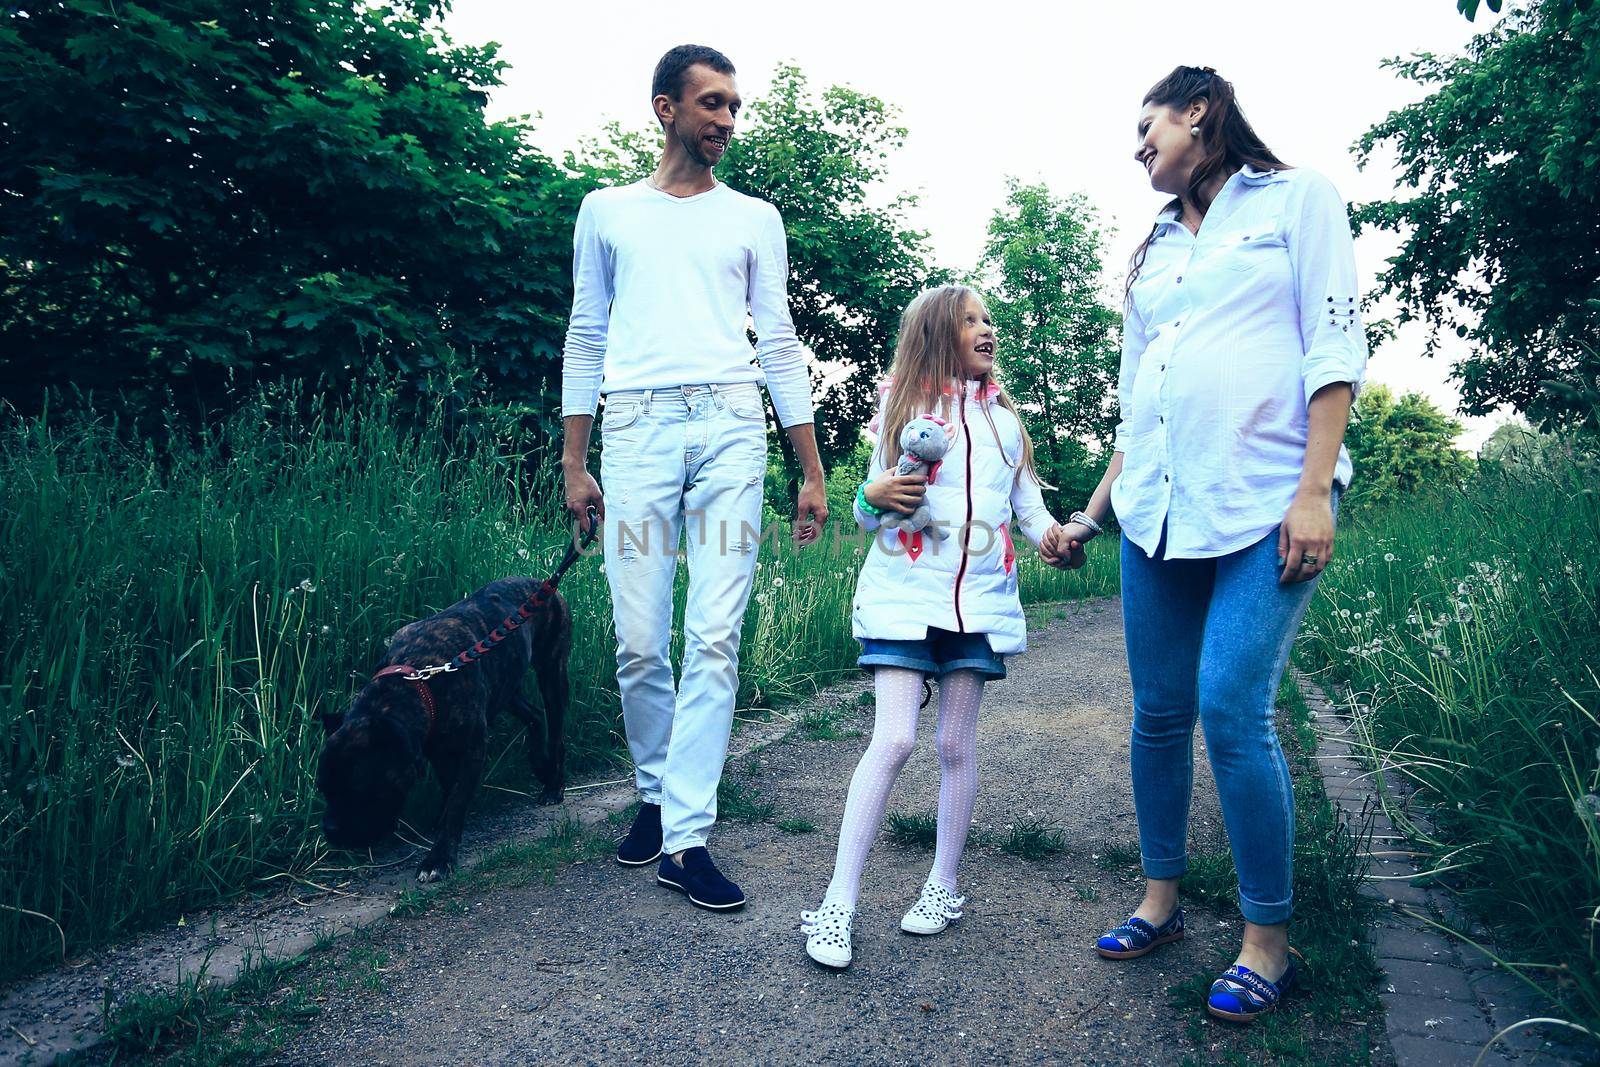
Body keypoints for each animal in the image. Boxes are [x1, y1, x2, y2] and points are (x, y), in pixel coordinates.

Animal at [315, 579, 572, 883]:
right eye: (323, 789)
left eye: (359, 789)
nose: (330, 829)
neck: (417, 679)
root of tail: (541, 584)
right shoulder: (436, 747)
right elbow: (449, 789)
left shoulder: (472, 750)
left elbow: (457, 801)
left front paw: (439, 857)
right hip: (506, 688)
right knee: (533, 715)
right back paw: (541, 767)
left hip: (551, 673)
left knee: (555, 729)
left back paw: (554, 783)